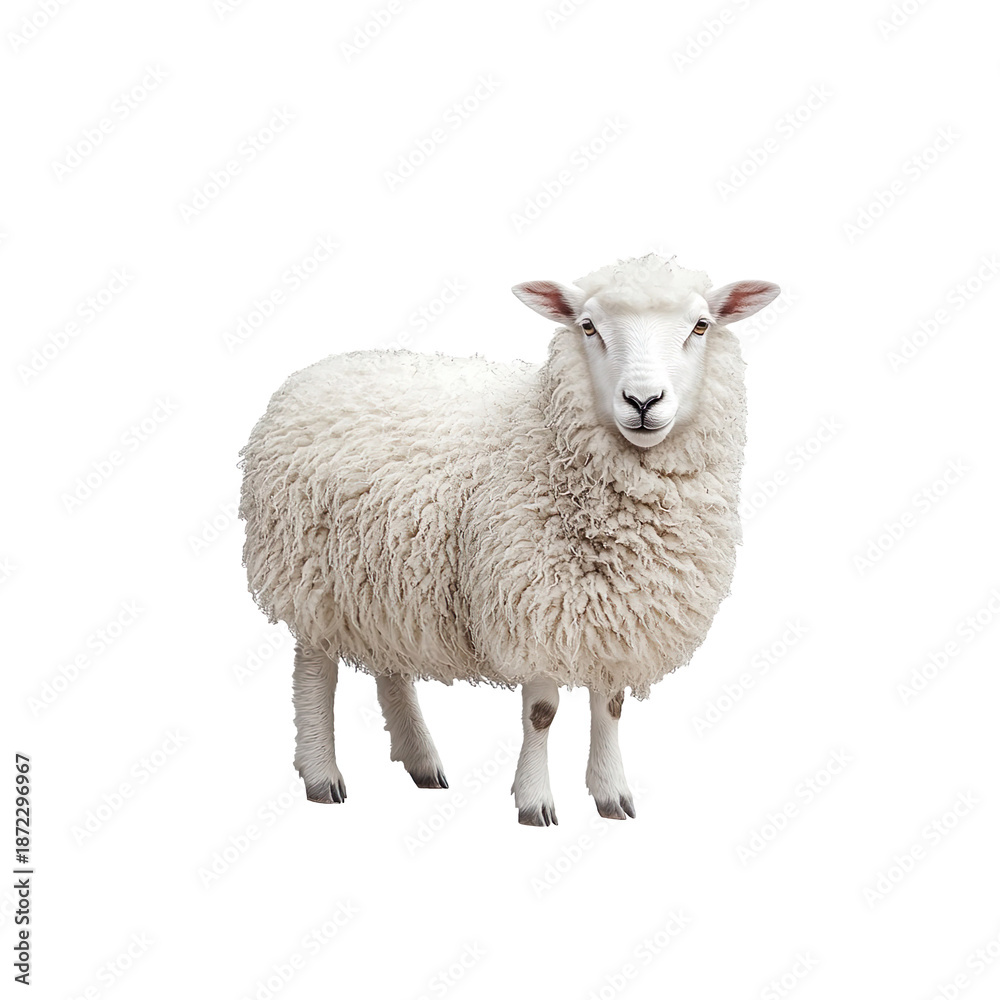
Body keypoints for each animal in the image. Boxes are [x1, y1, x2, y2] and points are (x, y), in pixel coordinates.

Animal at [239, 253, 780, 825]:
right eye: (588, 326)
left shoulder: (615, 614)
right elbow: (542, 713)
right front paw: (535, 801)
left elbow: (610, 706)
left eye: (701, 326)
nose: (642, 400)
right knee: (313, 671)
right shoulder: (533, 602)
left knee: (390, 662)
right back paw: (322, 773)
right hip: (309, 572)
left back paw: (421, 760)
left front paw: (612, 794)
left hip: (388, 576)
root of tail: (313, 372)